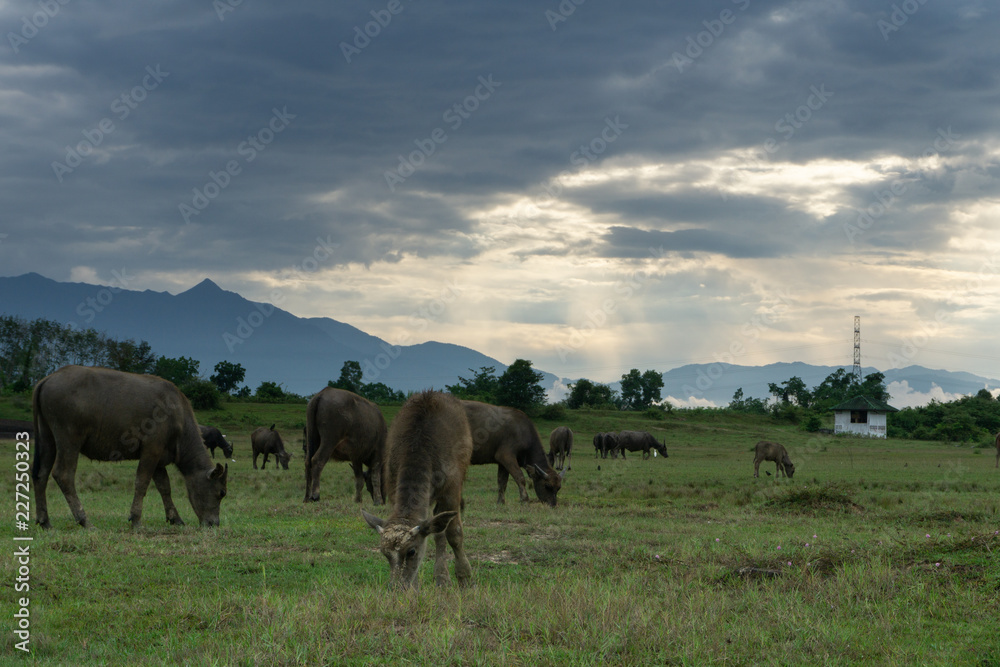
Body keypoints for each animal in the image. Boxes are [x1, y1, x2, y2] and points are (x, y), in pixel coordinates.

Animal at [30, 366, 229, 528]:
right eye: (221, 493)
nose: (214, 523)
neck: (176, 415)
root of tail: (49, 378)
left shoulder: (159, 458)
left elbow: (164, 487)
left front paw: (175, 518)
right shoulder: (151, 449)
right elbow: (142, 482)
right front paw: (136, 519)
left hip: (47, 438)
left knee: (41, 474)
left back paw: (45, 521)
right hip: (69, 439)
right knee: (63, 475)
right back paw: (84, 520)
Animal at [364, 392, 472, 588]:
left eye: (411, 551)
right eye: (384, 553)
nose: (396, 587)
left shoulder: (451, 490)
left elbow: (454, 533)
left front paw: (465, 578)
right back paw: (441, 577)